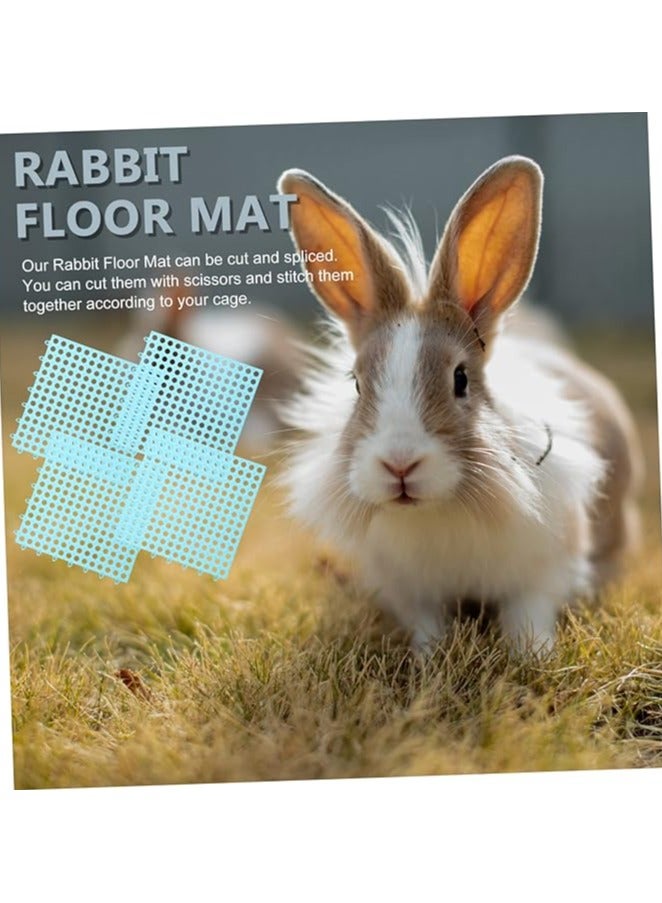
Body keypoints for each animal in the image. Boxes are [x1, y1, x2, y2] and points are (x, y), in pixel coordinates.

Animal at [277, 156, 643, 654]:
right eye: (356, 384)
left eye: (461, 379)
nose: (400, 465)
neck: (438, 509)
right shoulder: (410, 591)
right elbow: (427, 624)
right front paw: (429, 657)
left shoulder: (545, 571)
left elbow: (528, 612)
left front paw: (533, 656)